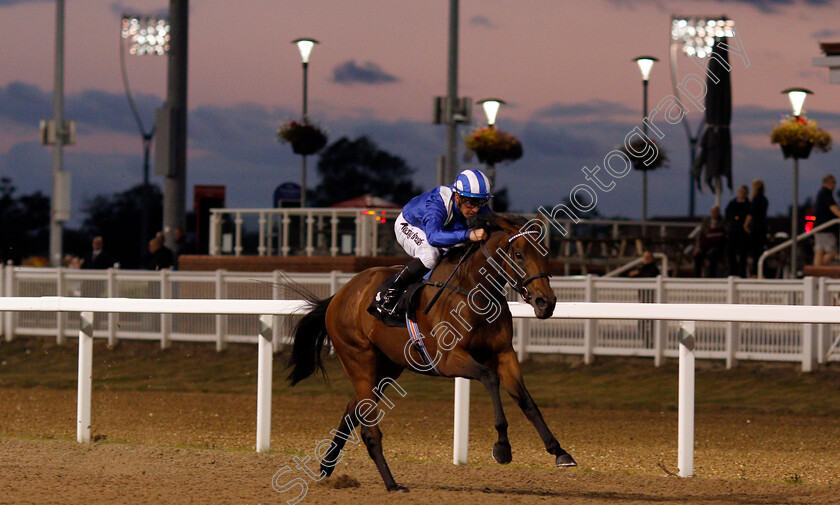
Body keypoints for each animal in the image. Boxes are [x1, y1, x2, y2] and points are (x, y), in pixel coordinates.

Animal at [286, 211, 576, 490]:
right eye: (518, 254)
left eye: (546, 253)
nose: (546, 302)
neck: (474, 291)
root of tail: (340, 294)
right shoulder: (449, 360)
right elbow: (490, 377)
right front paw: (502, 447)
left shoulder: (505, 354)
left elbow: (527, 401)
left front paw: (559, 451)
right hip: (359, 359)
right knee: (369, 427)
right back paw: (391, 484)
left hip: (388, 368)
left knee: (353, 408)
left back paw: (327, 467)